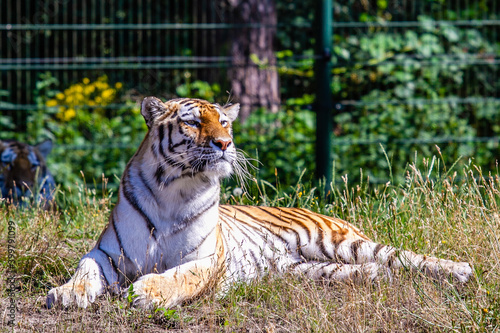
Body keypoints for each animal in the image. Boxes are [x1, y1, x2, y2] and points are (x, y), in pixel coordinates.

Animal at [45, 96, 470, 308]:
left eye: (224, 122)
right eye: (193, 122)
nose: (225, 143)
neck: (174, 189)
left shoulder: (207, 260)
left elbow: (179, 276)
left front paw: (147, 292)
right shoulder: (106, 252)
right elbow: (85, 270)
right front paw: (66, 293)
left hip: (339, 241)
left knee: (403, 256)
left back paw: (460, 270)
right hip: (309, 270)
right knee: (371, 269)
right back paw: (377, 278)